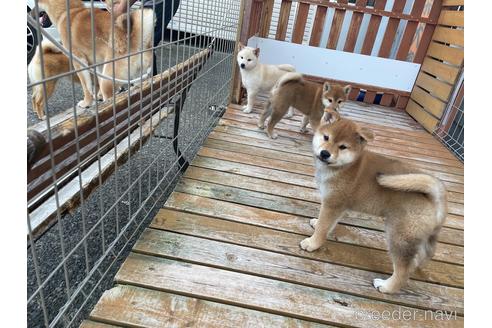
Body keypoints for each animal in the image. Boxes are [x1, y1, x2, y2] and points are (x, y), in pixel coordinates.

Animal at [302, 119, 448, 294]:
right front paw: (316, 224)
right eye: (326, 137)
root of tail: (434, 196)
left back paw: (387, 286)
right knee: (421, 256)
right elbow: (327, 224)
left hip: (399, 237)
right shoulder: (338, 206)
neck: (346, 166)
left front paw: (312, 243)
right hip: (418, 237)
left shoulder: (332, 204)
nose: (325, 153)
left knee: (403, 271)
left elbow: (323, 228)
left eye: (343, 147)